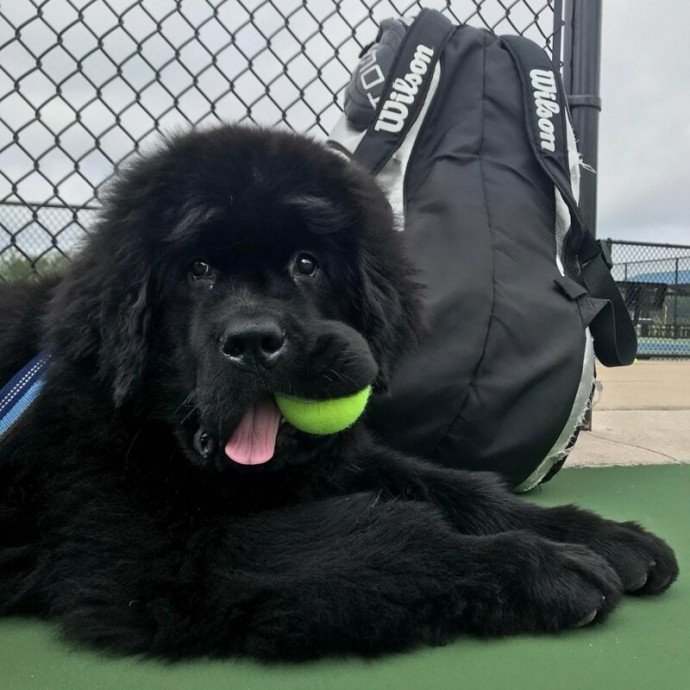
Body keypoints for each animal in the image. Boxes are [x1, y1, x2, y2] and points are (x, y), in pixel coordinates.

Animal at [0, 123, 676, 656]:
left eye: (307, 264)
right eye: (197, 271)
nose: (253, 342)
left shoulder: (338, 463)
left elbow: (456, 486)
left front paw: (599, 536)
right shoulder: (164, 556)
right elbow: (374, 537)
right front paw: (541, 565)